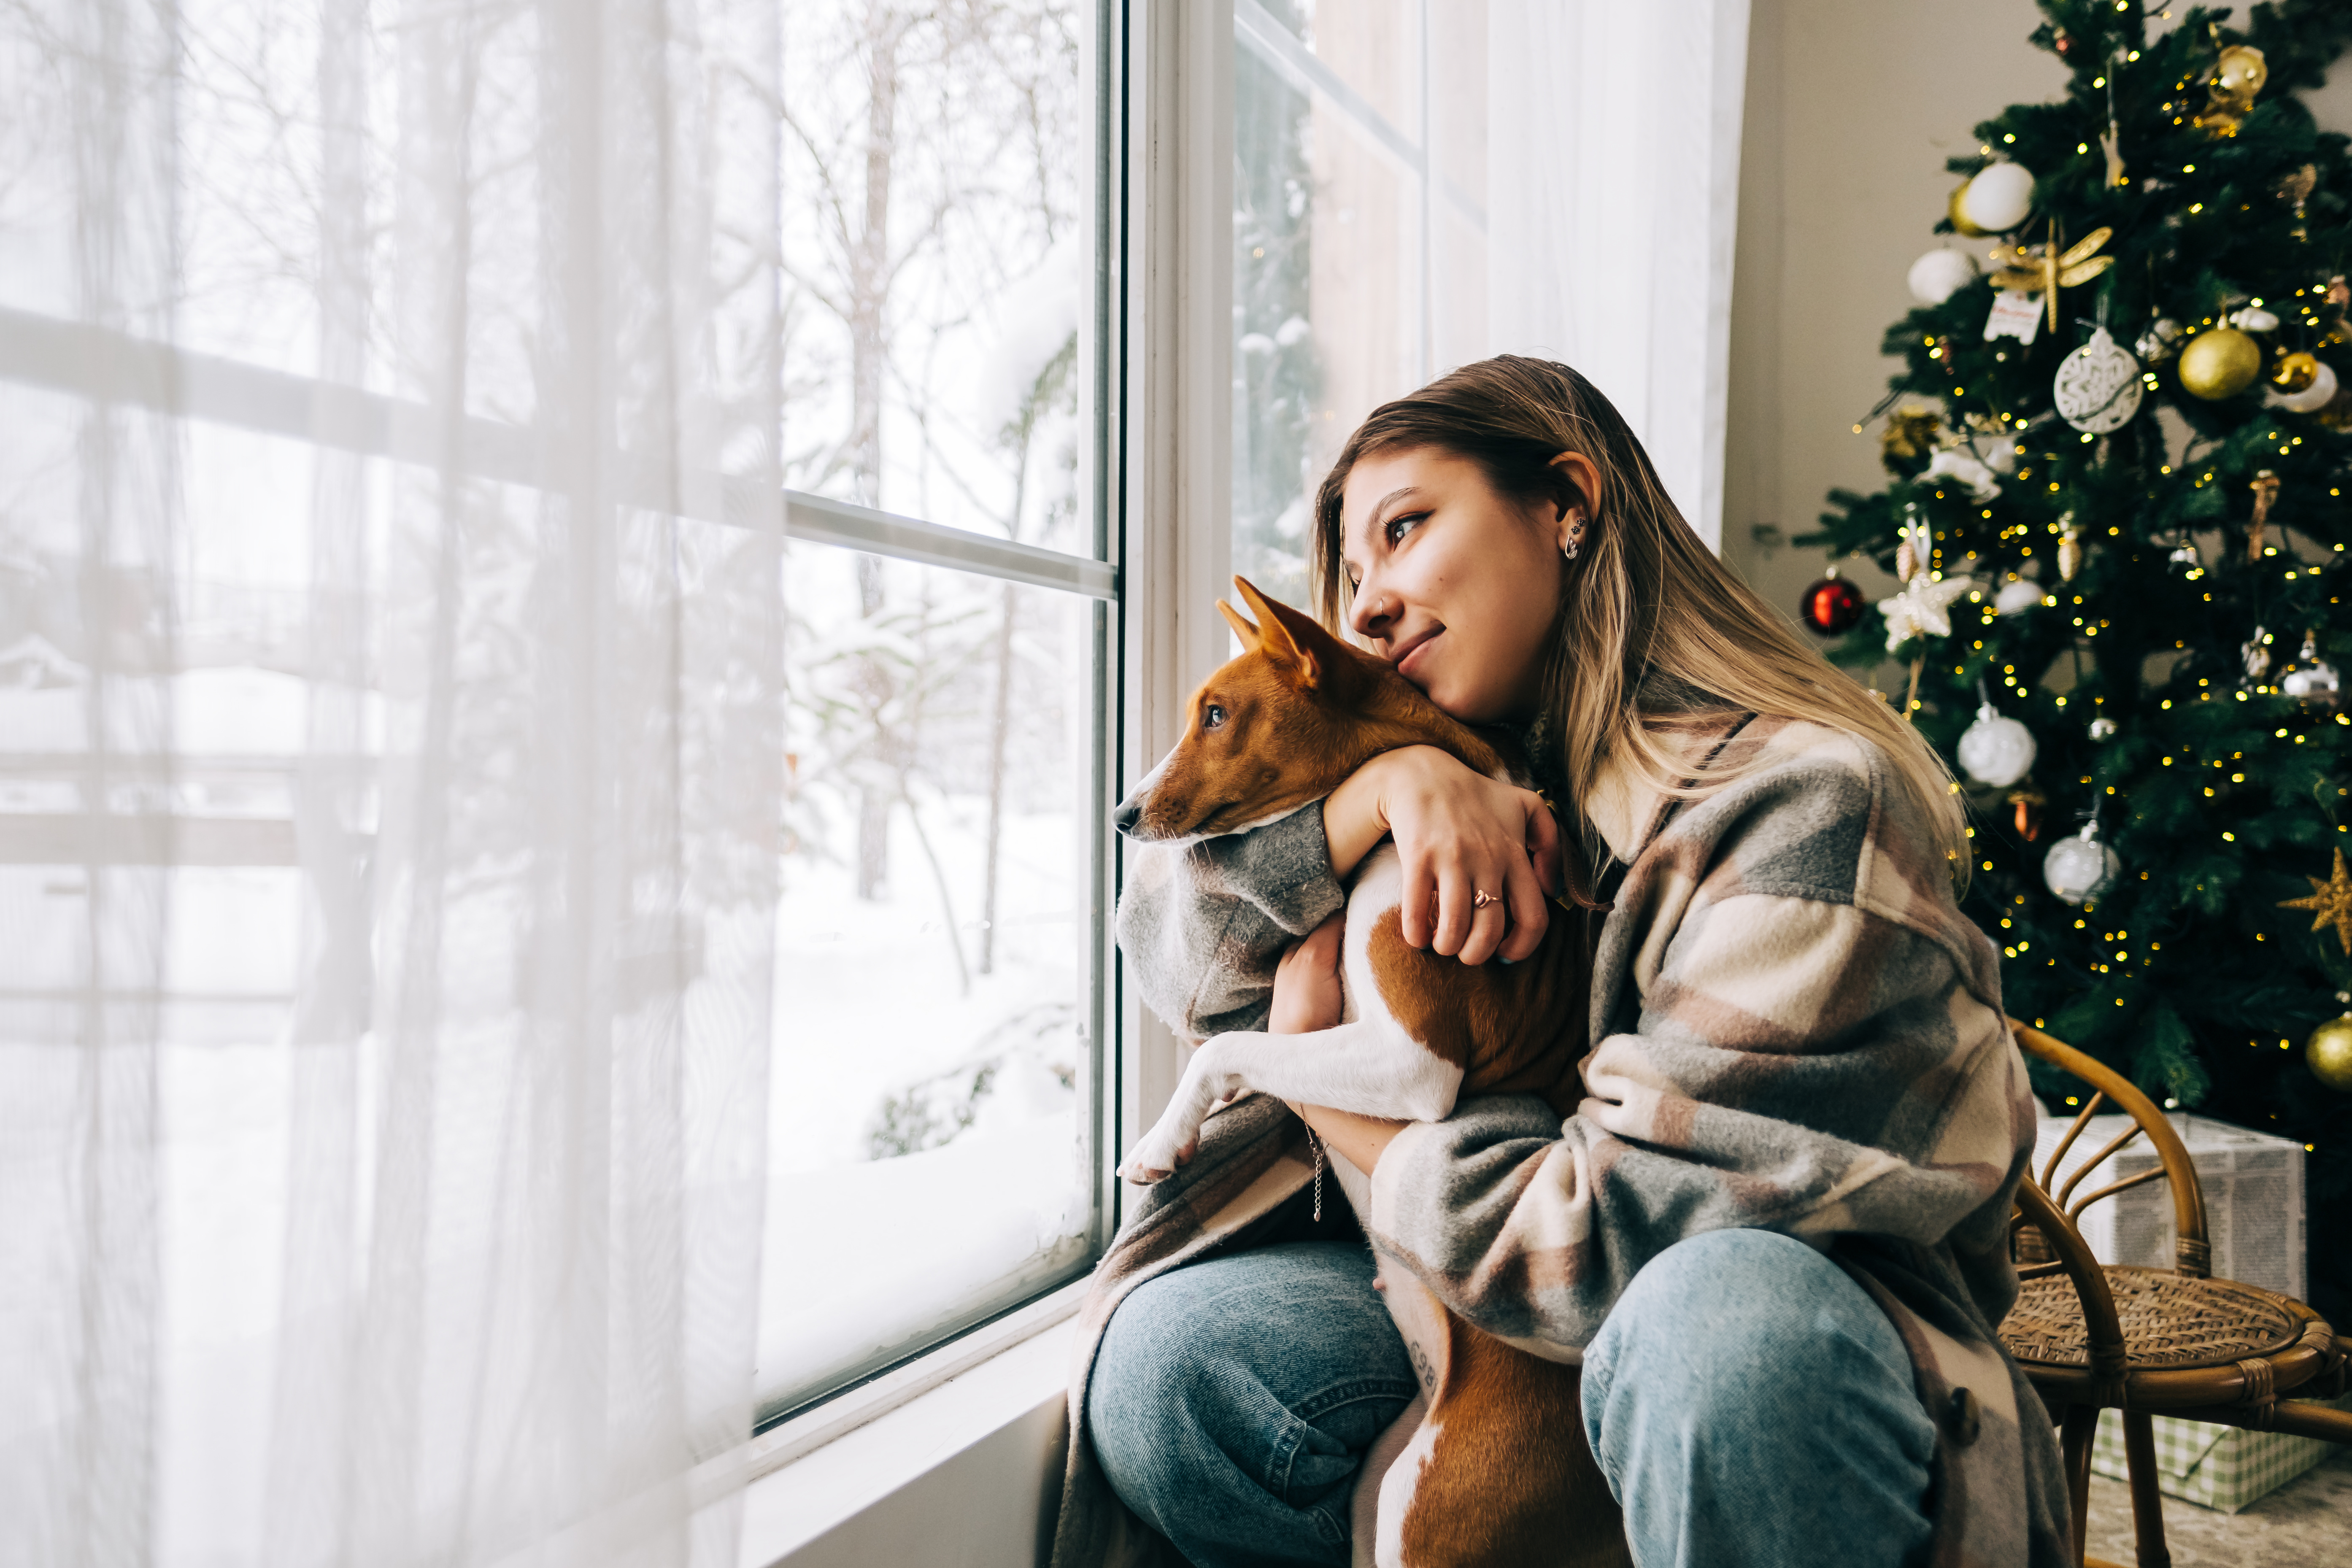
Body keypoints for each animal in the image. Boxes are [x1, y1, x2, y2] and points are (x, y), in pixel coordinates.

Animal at [1110, 580, 1627, 1568]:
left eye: (1217, 714)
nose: (1122, 815)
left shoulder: (1413, 1059)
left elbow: (1227, 1051)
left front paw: (1161, 1143)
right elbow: (1237, 1053)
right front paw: (1168, 1131)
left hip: (1425, 1521)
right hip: (1376, 1498)